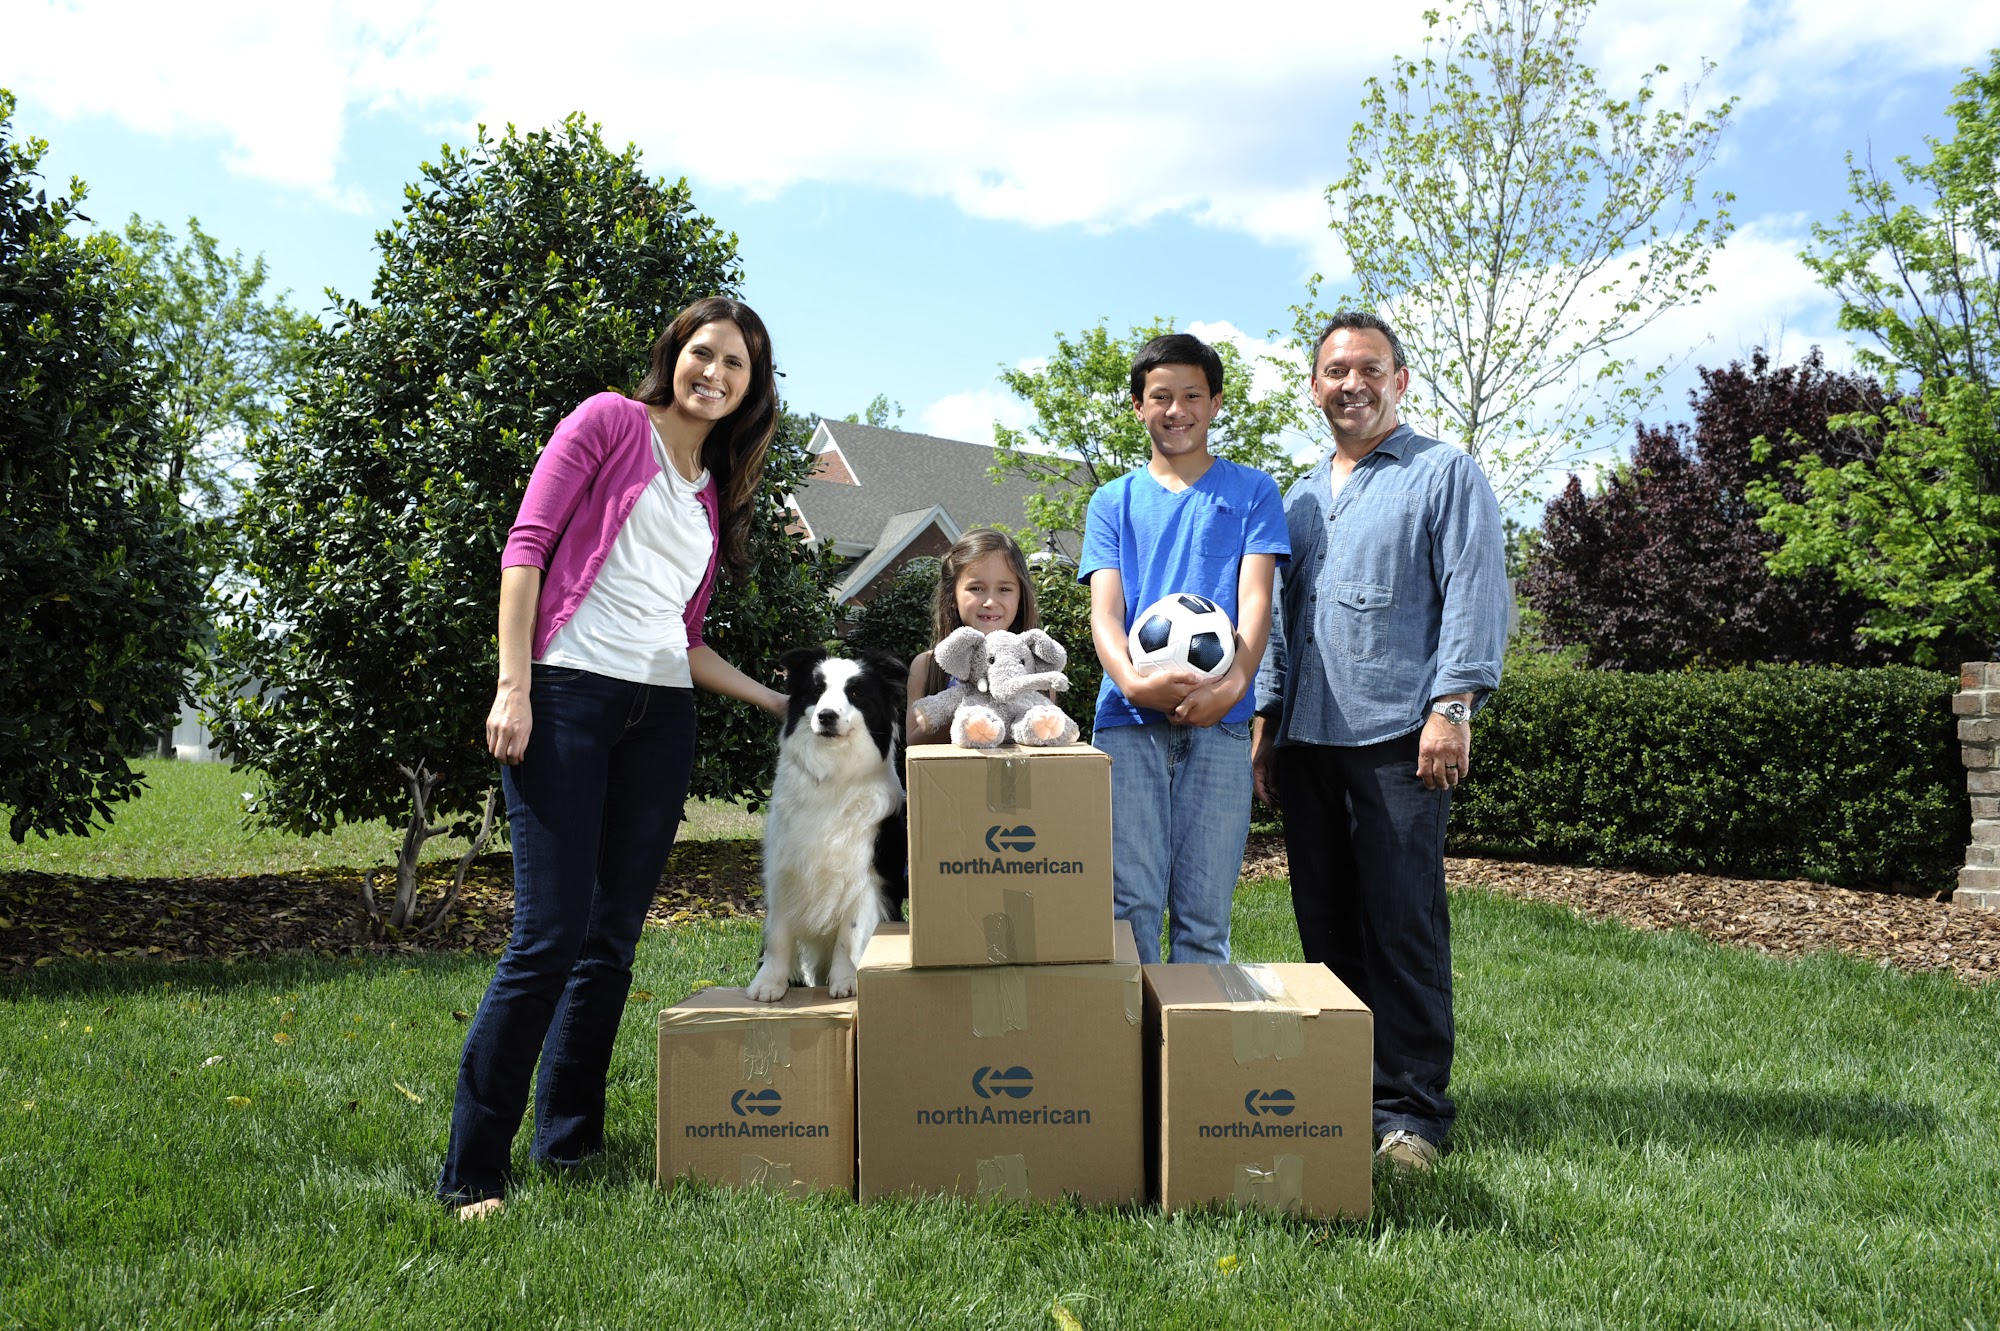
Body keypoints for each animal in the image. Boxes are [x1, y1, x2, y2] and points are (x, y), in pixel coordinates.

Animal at [747, 646, 907, 1002]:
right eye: (817, 690)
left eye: (855, 692)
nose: (827, 716)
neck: (833, 774)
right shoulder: (784, 868)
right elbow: (778, 935)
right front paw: (769, 983)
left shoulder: (867, 876)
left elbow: (850, 935)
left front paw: (846, 981)